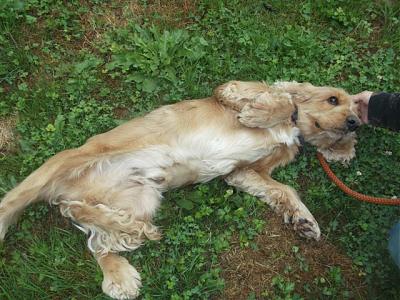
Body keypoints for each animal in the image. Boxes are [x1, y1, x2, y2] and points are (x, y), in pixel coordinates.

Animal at [0, 81, 360, 298]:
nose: (356, 122)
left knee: (97, 238)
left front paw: (304, 221)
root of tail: (72, 192)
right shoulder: (232, 88)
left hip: (141, 197)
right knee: (19, 202)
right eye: (333, 99)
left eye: (355, 109)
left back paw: (122, 267)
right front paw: (263, 112)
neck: (293, 132)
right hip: (62, 163)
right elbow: (283, 100)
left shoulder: (243, 173)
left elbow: (285, 189)